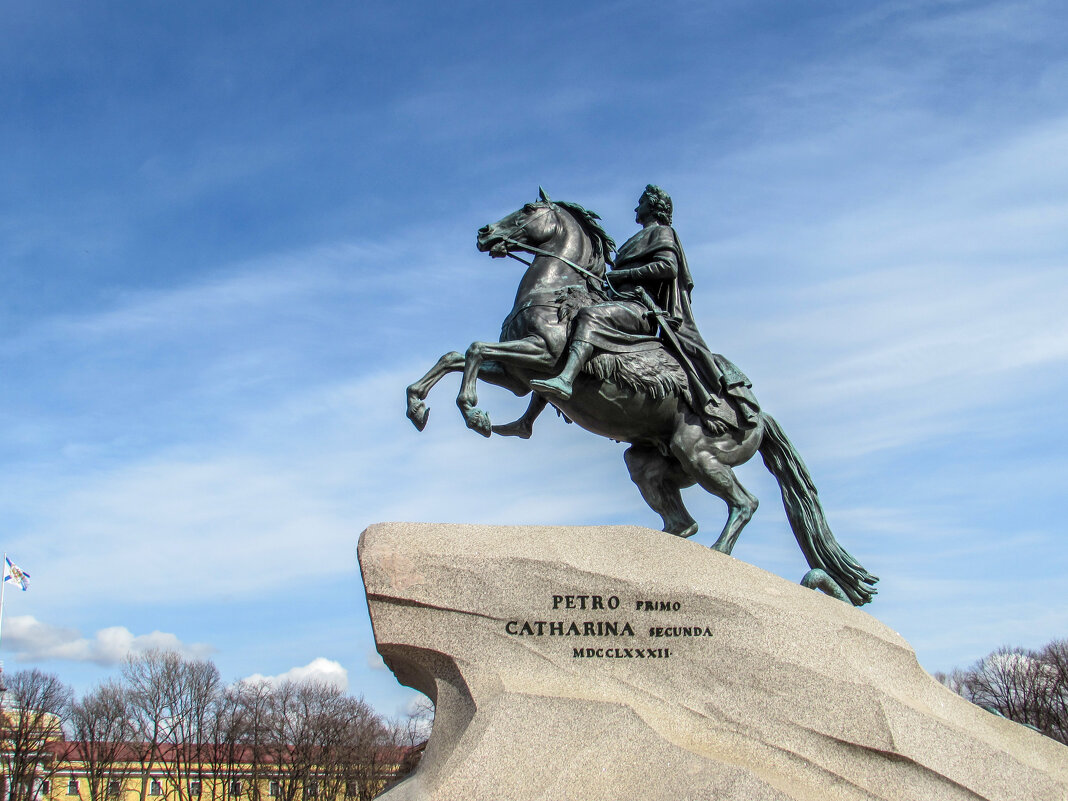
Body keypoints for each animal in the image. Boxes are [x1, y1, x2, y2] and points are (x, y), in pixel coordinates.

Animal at [401, 191, 875, 606]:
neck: (556, 291)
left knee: (744, 503)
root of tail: (758, 416)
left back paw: (719, 556)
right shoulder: (519, 375)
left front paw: (472, 412)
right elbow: (455, 356)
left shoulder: (543, 356)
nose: (484, 233)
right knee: (684, 523)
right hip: (652, 462)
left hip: (701, 454)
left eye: (528, 210)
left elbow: (476, 349)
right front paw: (418, 406)